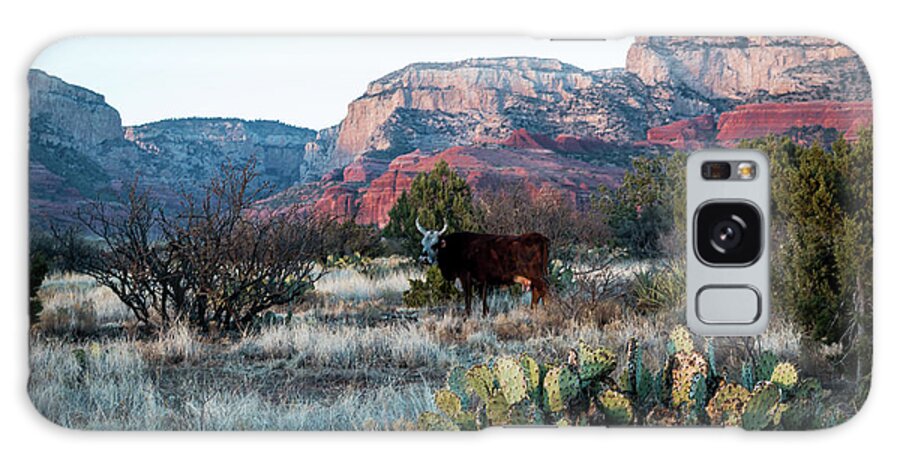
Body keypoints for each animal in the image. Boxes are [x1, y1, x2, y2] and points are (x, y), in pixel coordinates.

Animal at [414, 219, 548, 318]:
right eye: (422, 243)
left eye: (434, 245)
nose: (423, 259)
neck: (454, 247)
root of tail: (539, 237)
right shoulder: (481, 281)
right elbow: (482, 299)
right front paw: (484, 313)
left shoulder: (466, 277)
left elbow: (468, 297)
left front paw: (467, 315)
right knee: (537, 293)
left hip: (536, 276)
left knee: (544, 291)